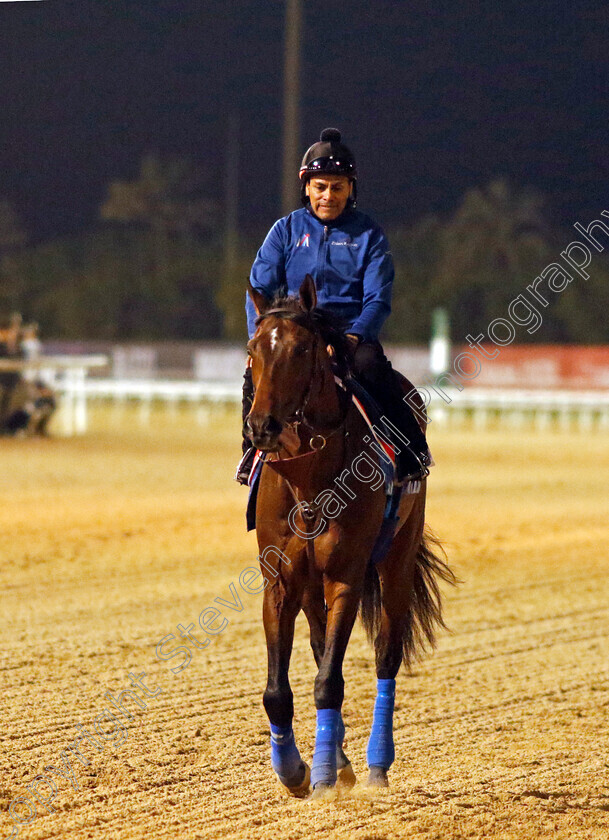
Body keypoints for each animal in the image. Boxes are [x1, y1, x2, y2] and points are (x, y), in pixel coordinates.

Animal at [245, 276, 454, 800]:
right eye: (253, 349)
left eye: (301, 349)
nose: (261, 426)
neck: (308, 480)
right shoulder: (281, 580)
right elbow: (279, 690)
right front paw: (295, 771)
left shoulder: (346, 577)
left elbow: (329, 682)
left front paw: (321, 775)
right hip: (310, 586)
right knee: (321, 647)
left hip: (397, 559)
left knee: (386, 657)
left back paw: (377, 765)